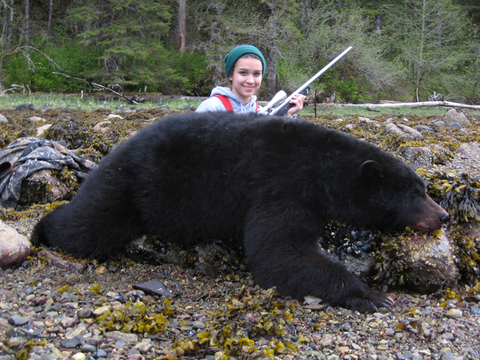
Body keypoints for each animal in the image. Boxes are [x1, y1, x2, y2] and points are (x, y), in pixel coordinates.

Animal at [31, 112, 448, 312]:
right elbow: (279, 253)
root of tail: (115, 150)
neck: (323, 168)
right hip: (128, 186)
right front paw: (371, 294)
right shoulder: (281, 187)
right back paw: (41, 230)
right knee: (88, 225)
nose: (443, 215)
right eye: (416, 193)